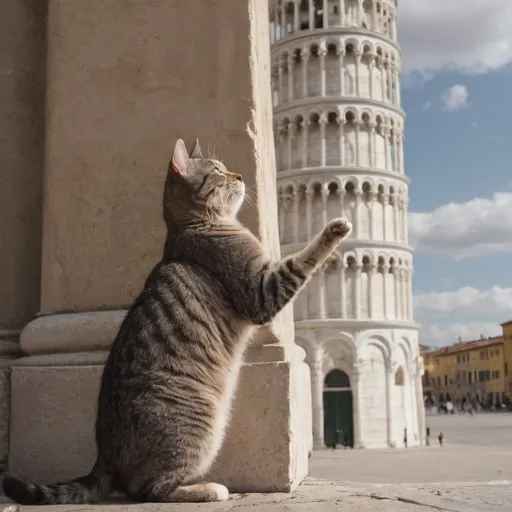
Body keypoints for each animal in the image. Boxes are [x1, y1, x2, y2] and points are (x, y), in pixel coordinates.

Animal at [1, 138, 352, 506]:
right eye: (218, 171)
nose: (239, 175)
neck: (195, 226)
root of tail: (104, 456)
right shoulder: (262, 290)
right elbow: (305, 258)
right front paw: (335, 229)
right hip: (198, 425)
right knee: (148, 490)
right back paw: (208, 488)